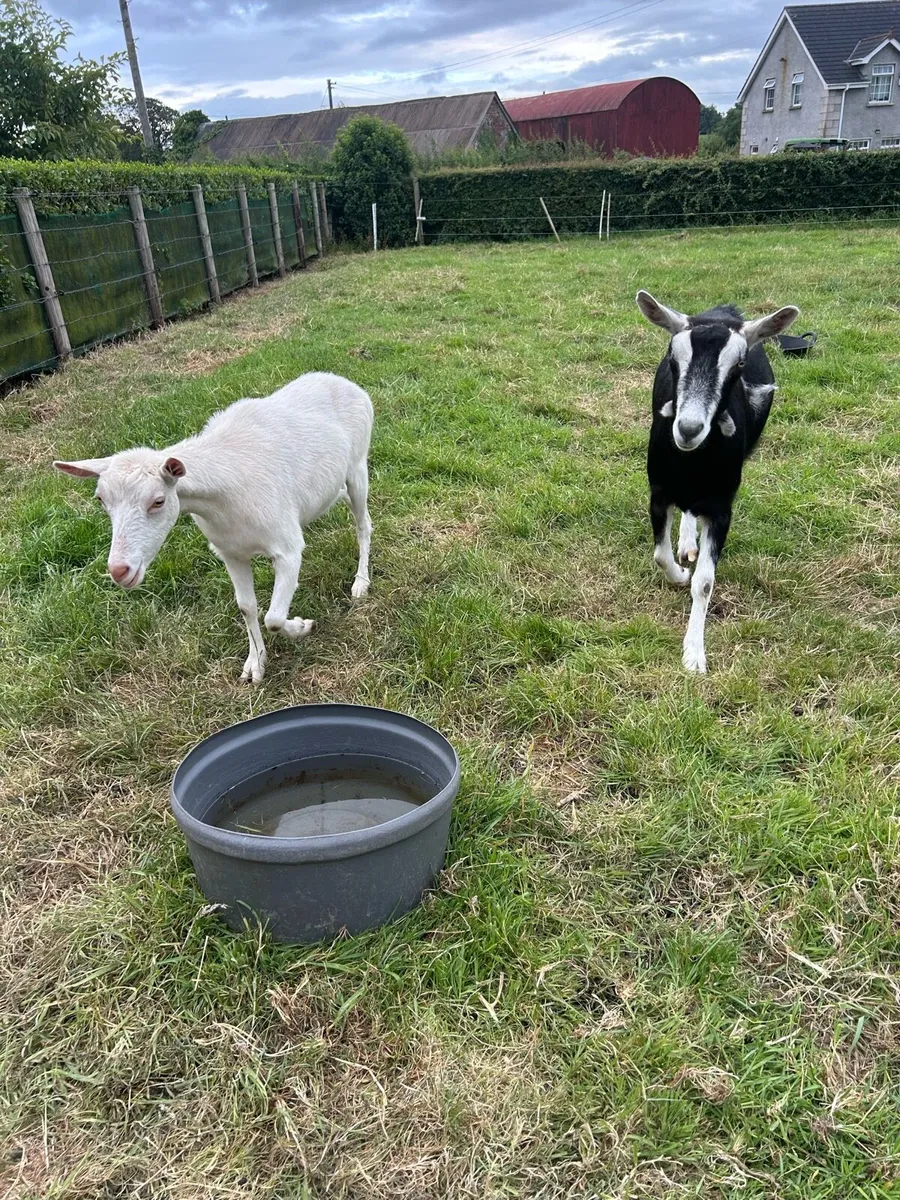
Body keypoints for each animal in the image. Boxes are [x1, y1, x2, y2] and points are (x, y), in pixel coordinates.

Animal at [53, 371, 373, 683]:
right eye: (101, 500)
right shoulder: (229, 552)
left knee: (363, 523)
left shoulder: (287, 547)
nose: (119, 570)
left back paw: (360, 583)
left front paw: (303, 627)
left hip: (358, 466)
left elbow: (273, 618)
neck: (223, 498)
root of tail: (342, 380)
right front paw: (255, 665)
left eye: (158, 501)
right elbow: (247, 606)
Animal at [635, 290, 799, 673]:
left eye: (739, 364)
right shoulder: (658, 493)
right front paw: (680, 573)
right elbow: (660, 556)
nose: (688, 428)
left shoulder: (722, 507)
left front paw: (694, 654)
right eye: (672, 356)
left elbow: (706, 583)